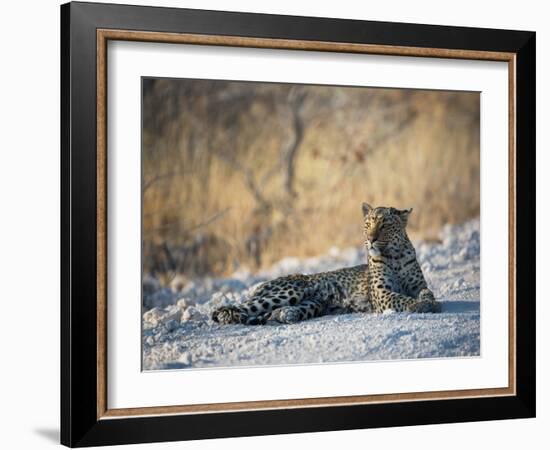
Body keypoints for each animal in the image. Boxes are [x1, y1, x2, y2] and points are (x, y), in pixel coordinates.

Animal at [212, 202, 444, 326]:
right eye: (367, 224)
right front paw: (419, 305)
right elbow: (401, 299)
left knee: (270, 313)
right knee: (232, 308)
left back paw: (286, 314)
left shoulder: (418, 285)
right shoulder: (382, 294)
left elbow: (427, 292)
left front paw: (430, 302)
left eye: (385, 225)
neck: (395, 255)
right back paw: (230, 315)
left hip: (312, 303)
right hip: (289, 291)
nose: (371, 239)